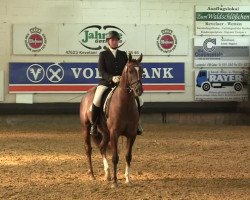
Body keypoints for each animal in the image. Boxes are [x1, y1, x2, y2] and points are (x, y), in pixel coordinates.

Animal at [79, 53, 143, 188]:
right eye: (130, 71)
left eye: (142, 71)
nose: (139, 90)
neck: (125, 104)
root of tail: (86, 95)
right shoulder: (115, 134)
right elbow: (115, 157)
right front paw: (115, 182)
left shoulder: (132, 134)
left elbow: (128, 156)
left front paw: (127, 179)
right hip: (86, 128)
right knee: (88, 149)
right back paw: (92, 175)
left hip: (106, 132)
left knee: (102, 147)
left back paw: (107, 174)